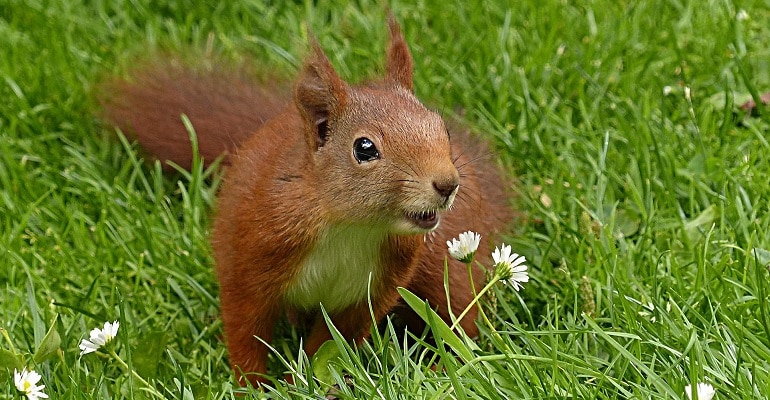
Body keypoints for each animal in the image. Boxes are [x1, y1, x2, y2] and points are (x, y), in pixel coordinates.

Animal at [100, 16, 510, 388]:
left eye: (442, 128)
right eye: (364, 149)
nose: (447, 184)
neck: (351, 226)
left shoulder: (376, 286)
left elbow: (333, 340)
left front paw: (302, 380)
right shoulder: (251, 251)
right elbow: (244, 323)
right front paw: (252, 385)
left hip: (445, 263)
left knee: (459, 314)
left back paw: (444, 369)